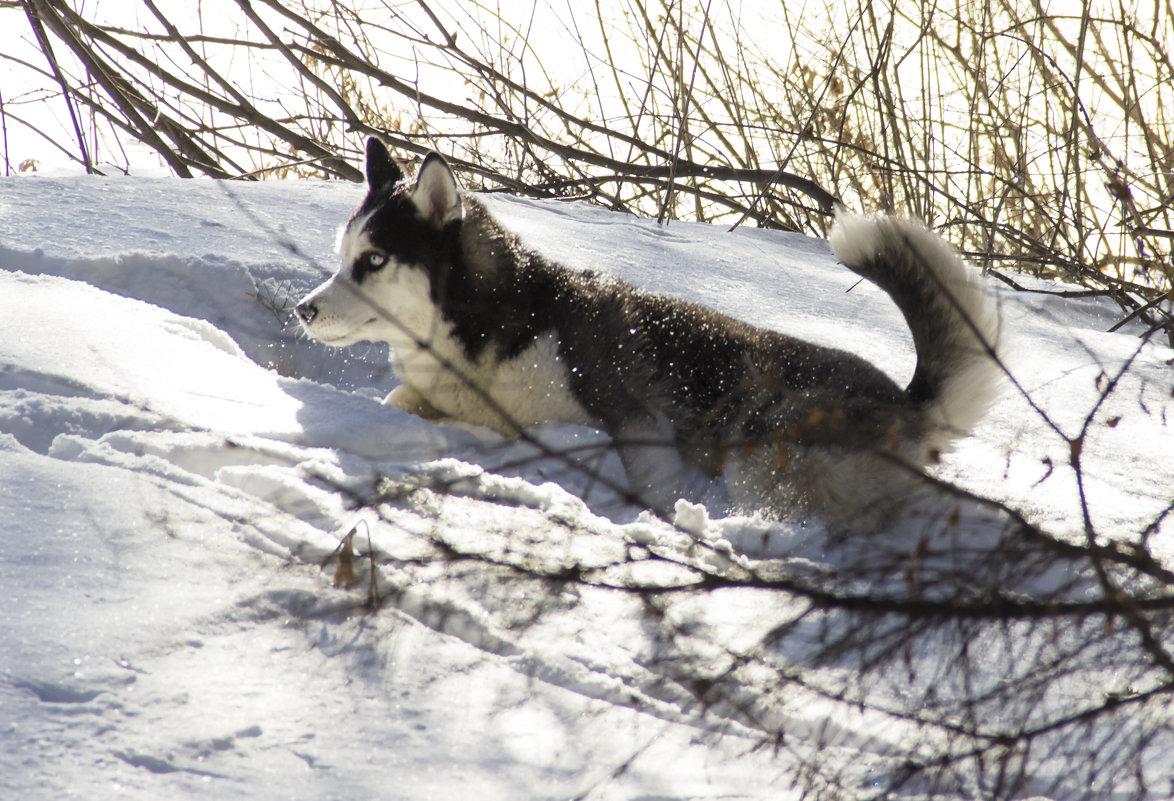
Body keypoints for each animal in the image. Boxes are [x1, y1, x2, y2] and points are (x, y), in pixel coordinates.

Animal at [295, 137, 1000, 523]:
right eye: (342, 255)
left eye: (374, 261)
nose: (304, 309)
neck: (488, 327)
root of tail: (906, 399)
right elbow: (400, 401)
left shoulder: (635, 422)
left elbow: (650, 481)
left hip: (760, 436)